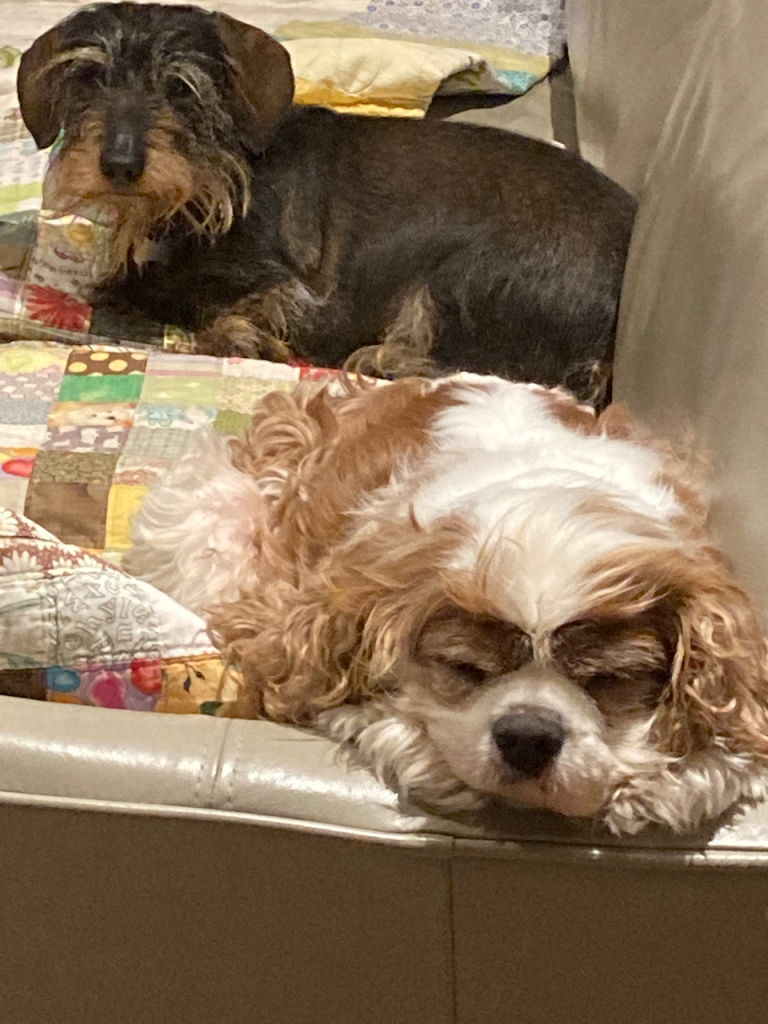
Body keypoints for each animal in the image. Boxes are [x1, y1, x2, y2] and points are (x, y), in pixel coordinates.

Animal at [18, 2, 638, 401]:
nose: (120, 164)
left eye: (181, 86)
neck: (215, 186)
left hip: (462, 276)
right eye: (90, 78)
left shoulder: (304, 297)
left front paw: (237, 334)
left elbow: (215, 313)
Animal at [128, 376, 768, 831]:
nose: (529, 735)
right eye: (465, 668)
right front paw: (427, 755)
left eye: (609, 680)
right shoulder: (292, 624)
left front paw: (667, 777)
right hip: (210, 517)